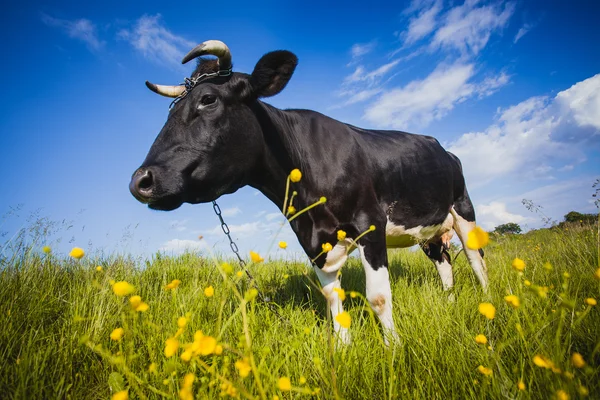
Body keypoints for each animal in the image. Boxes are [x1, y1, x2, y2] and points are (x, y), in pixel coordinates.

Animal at [131, 40, 488, 346]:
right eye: (170, 110)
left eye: (208, 100)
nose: (140, 180)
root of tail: (442, 148)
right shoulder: (312, 240)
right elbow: (332, 298)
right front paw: (343, 351)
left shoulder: (371, 223)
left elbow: (378, 296)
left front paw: (394, 349)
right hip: (429, 231)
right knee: (444, 264)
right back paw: (449, 303)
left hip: (463, 209)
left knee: (476, 261)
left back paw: (488, 304)